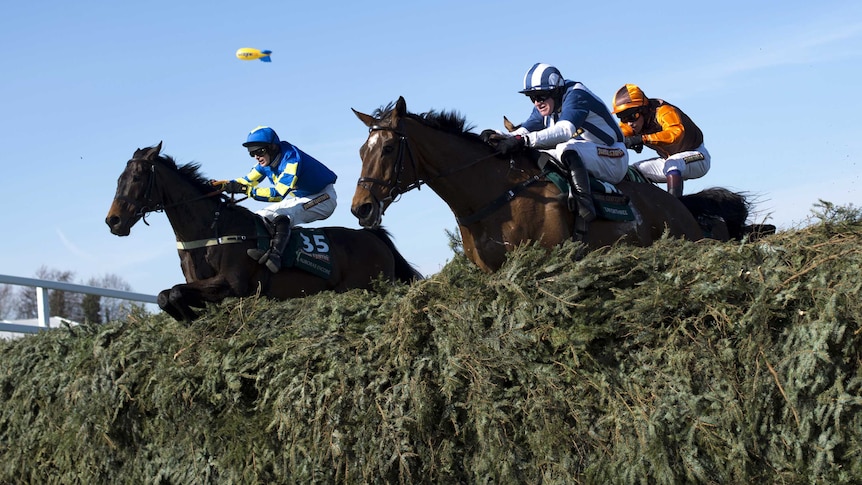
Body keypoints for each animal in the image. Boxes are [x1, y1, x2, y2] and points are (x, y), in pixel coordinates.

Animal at [106, 141, 424, 322]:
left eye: (137, 177)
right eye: (119, 178)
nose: (113, 221)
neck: (211, 230)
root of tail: (373, 236)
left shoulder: (233, 285)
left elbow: (172, 293)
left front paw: (186, 315)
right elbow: (166, 295)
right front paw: (187, 317)